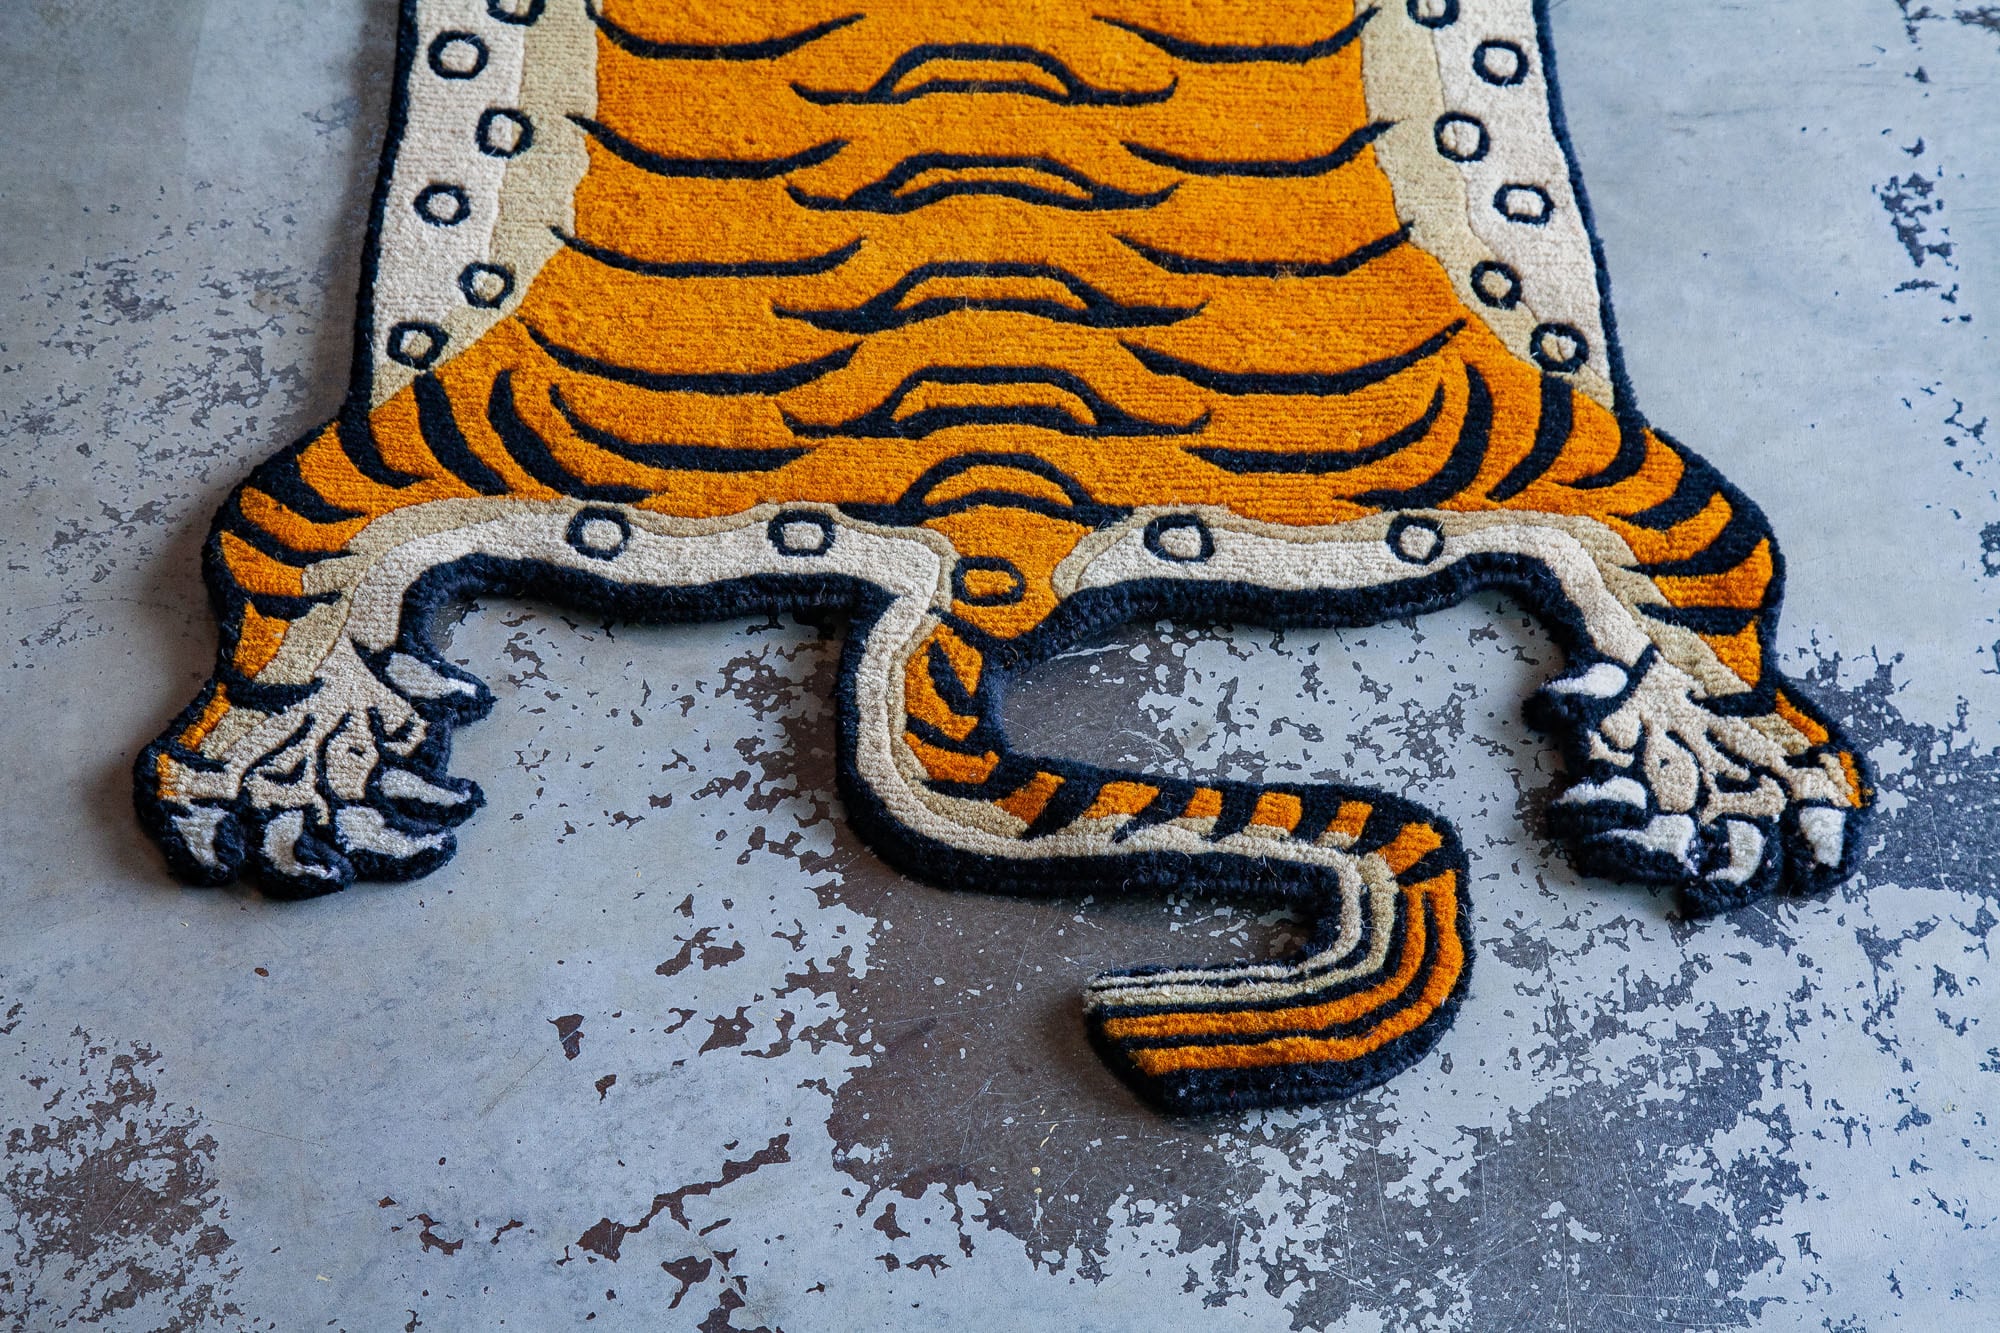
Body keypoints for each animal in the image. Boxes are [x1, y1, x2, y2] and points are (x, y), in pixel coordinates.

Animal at [135, 0, 1871, 1114]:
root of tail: (983, 538)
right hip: (512, 422)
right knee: (305, 529)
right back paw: (293, 760)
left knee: (1678, 536)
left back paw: (1726, 770)